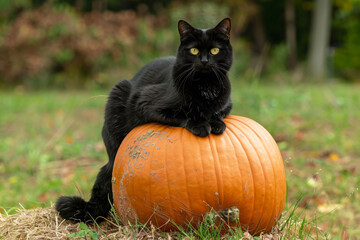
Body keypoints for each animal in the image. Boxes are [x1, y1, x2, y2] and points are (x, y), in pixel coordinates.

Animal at [54, 17, 233, 222]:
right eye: (194, 50)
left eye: (214, 51)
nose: (204, 61)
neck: (206, 87)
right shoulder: (145, 102)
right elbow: (183, 115)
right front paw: (201, 125)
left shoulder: (227, 104)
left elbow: (218, 112)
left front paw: (217, 123)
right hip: (119, 93)